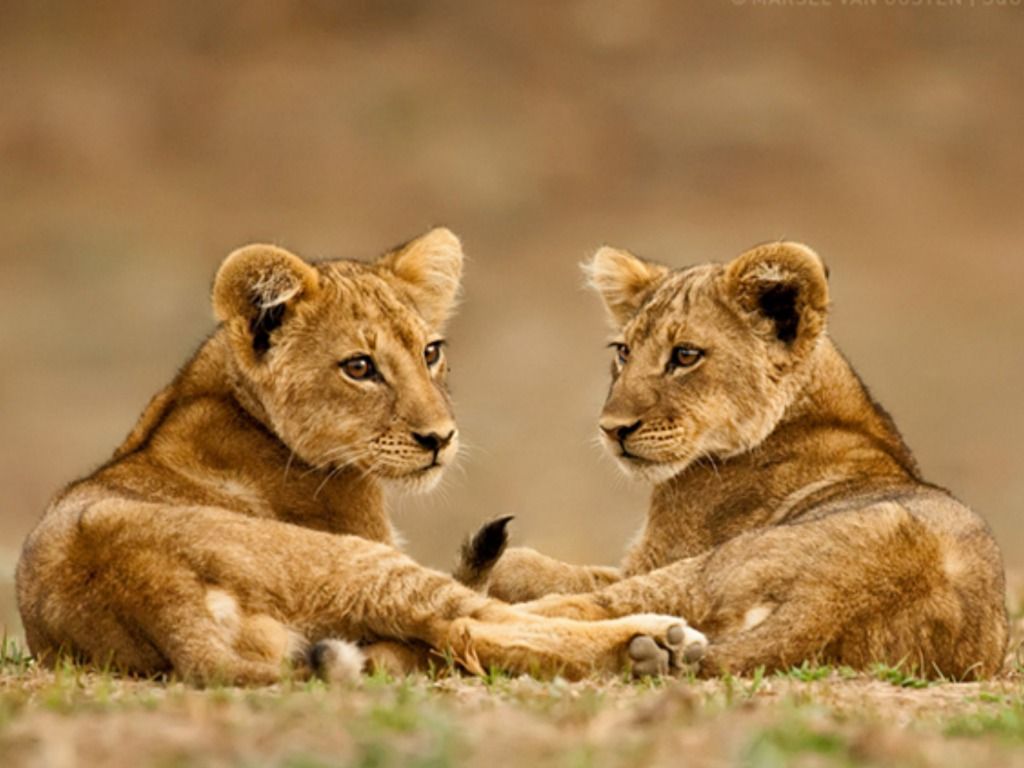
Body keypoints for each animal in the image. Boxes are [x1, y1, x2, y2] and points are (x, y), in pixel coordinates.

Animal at [15, 228, 708, 685]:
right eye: (359, 367)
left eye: (430, 352)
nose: (440, 438)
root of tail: (150, 590)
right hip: (351, 561)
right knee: (472, 623)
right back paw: (652, 639)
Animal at [460, 241, 1008, 679]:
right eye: (623, 351)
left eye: (685, 355)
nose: (612, 429)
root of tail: (834, 600)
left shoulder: (657, 556)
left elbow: (545, 569)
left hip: (705, 570)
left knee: (565, 611)